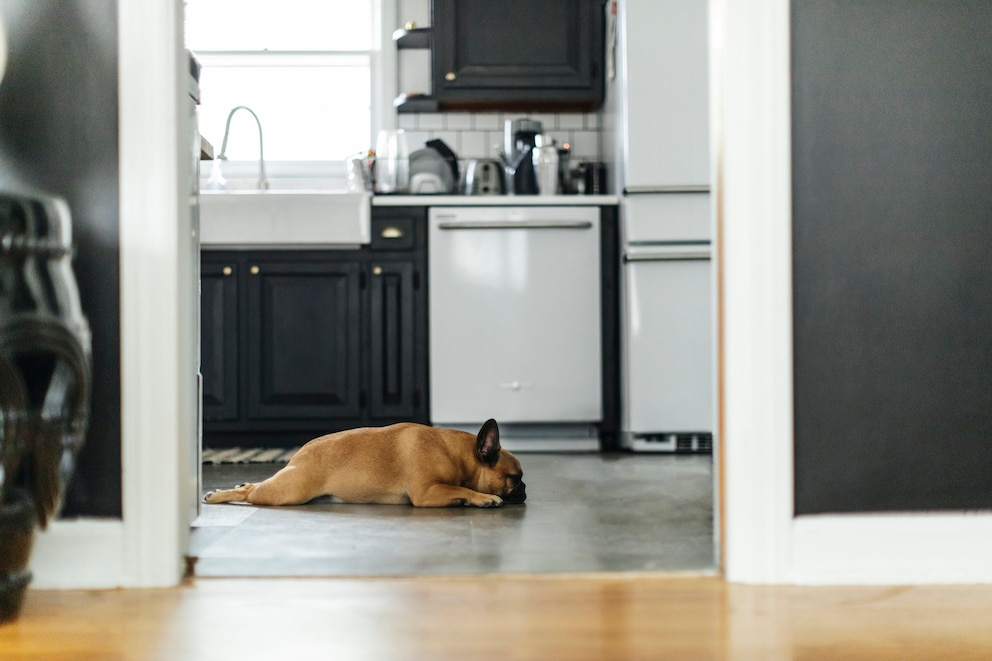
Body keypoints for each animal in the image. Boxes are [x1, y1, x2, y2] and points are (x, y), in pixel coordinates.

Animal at [202, 420, 528, 508]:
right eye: (514, 478)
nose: (524, 489)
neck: (457, 453)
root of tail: (299, 454)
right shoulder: (426, 493)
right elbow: (462, 488)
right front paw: (483, 497)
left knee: (253, 485)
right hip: (289, 492)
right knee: (251, 493)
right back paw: (219, 495)